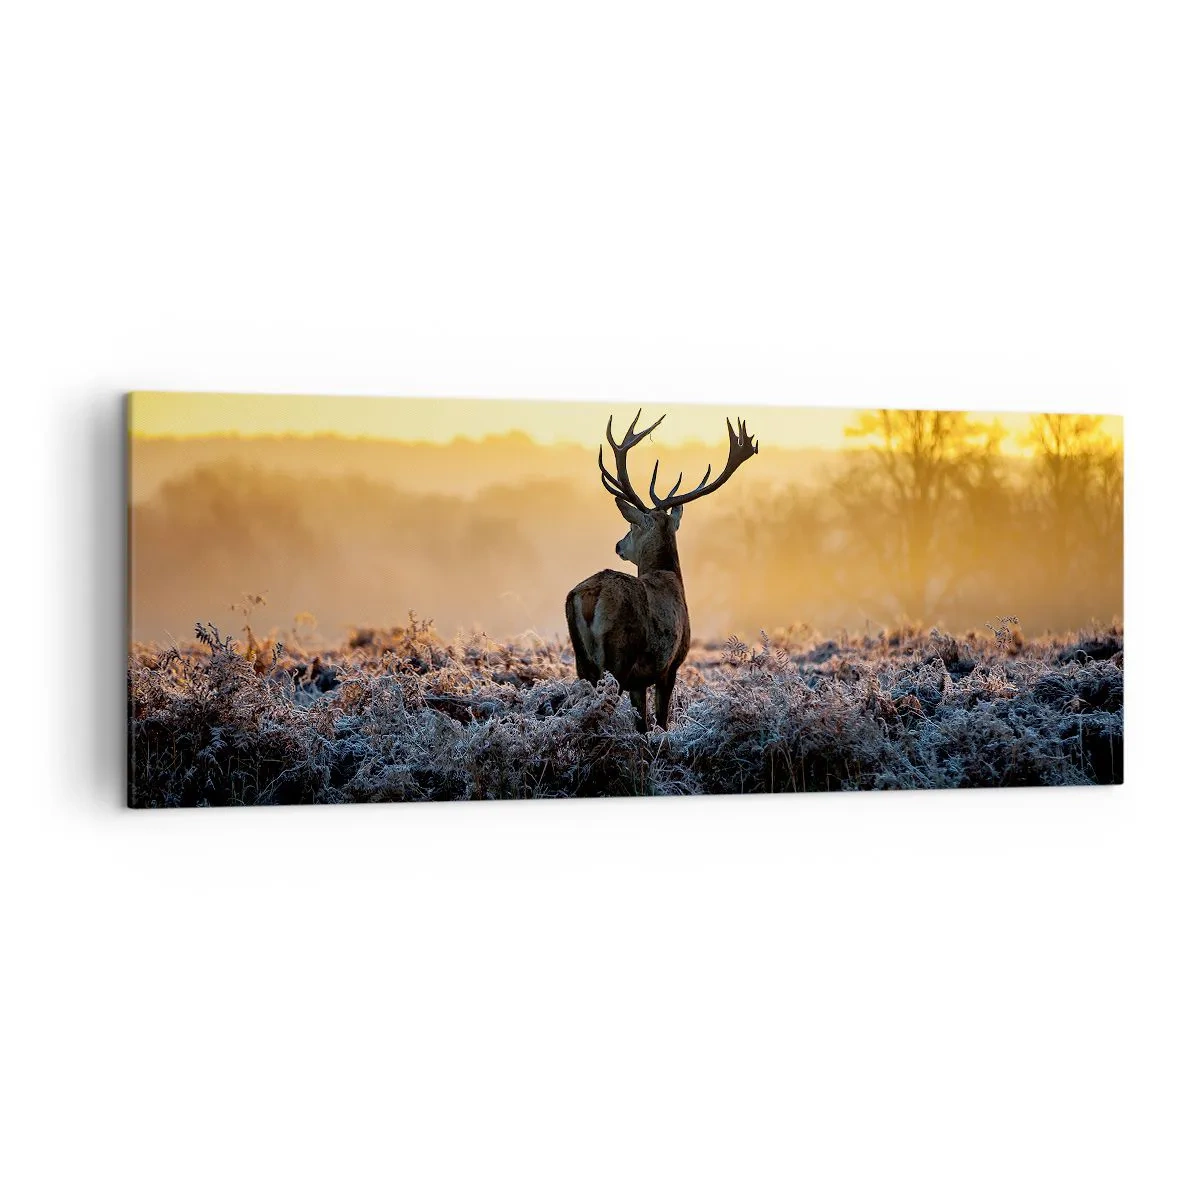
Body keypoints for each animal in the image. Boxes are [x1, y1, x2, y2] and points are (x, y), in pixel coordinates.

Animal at [565, 410, 759, 733]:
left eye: (631, 527)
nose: (618, 545)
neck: (670, 577)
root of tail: (592, 594)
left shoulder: (640, 680)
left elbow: (643, 724)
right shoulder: (670, 665)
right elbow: (662, 721)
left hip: (583, 660)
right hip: (618, 655)